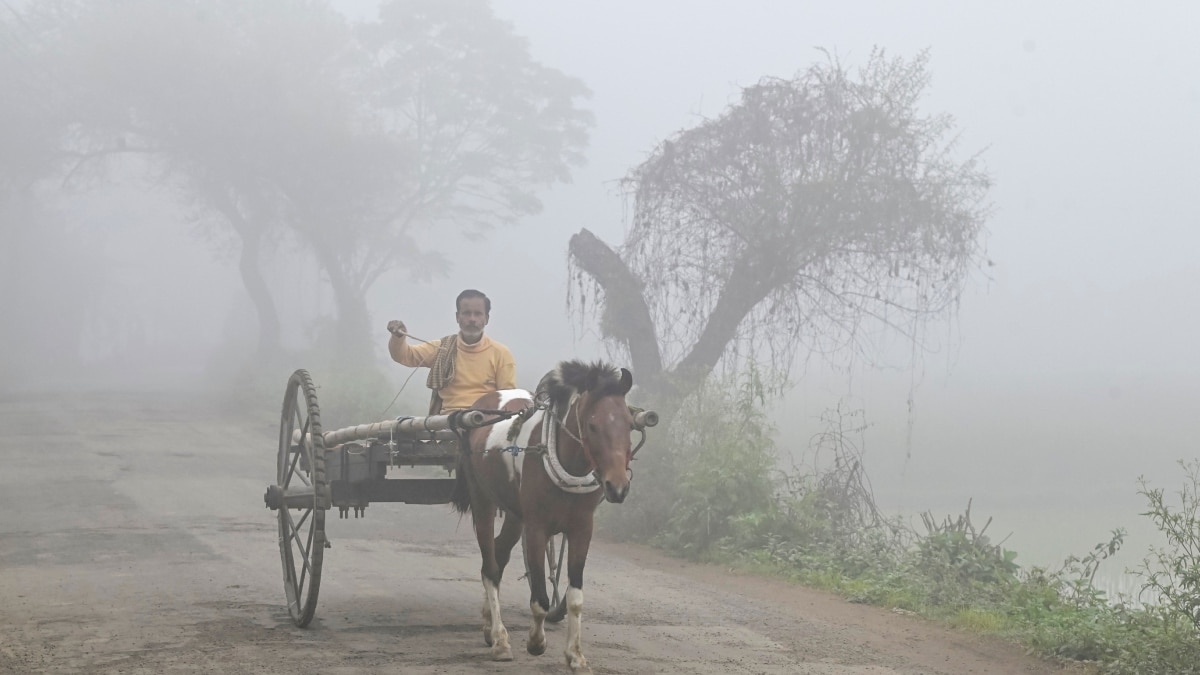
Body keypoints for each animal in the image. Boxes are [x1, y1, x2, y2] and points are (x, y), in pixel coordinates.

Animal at [451, 357, 638, 667]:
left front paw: (575, 655)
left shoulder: (582, 529)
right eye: (592, 425)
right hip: (482, 500)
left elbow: (575, 597)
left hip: (515, 515)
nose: (618, 486)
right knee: (490, 567)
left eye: (628, 424)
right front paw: (536, 642)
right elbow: (539, 596)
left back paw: (489, 625)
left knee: (499, 554)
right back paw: (500, 639)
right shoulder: (537, 528)